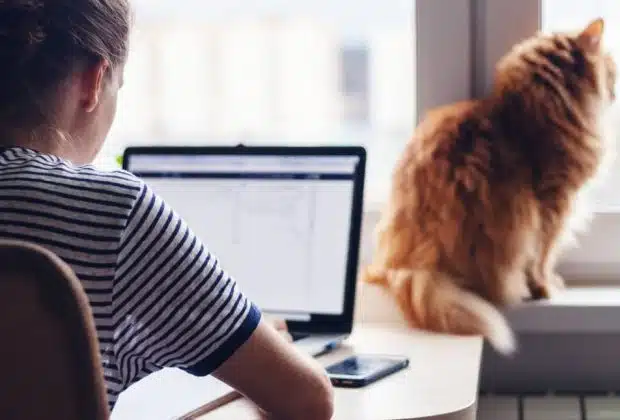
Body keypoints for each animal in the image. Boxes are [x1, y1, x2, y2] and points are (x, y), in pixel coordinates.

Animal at [364, 18, 616, 354]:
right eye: (611, 68)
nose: (615, 90)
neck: (533, 108)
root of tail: (411, 263)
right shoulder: (553, 204)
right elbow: (543, 257)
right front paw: (545, 287)